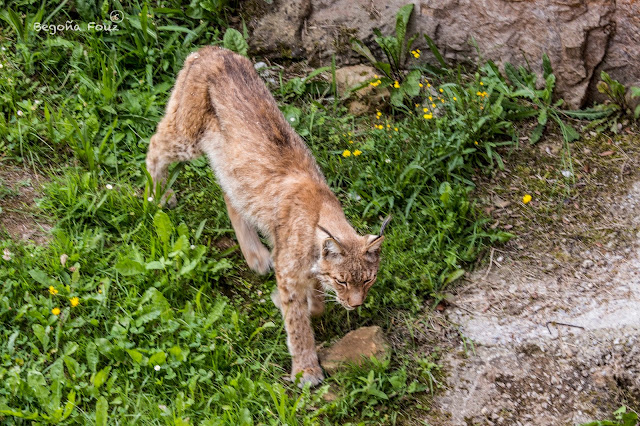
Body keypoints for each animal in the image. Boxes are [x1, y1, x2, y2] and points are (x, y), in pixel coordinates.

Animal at [145, 46, 389, 386]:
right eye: (342, 281)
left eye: (368, 279)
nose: (356, 305)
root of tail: (212, 49)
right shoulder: (289, 272)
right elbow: (297, 322)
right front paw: (306, 369)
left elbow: (314, 305)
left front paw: (307, 304)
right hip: (187, 137)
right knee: (155, 143)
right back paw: (157, 195)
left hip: (233, 165)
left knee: (231, 194)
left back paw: (255, 255)